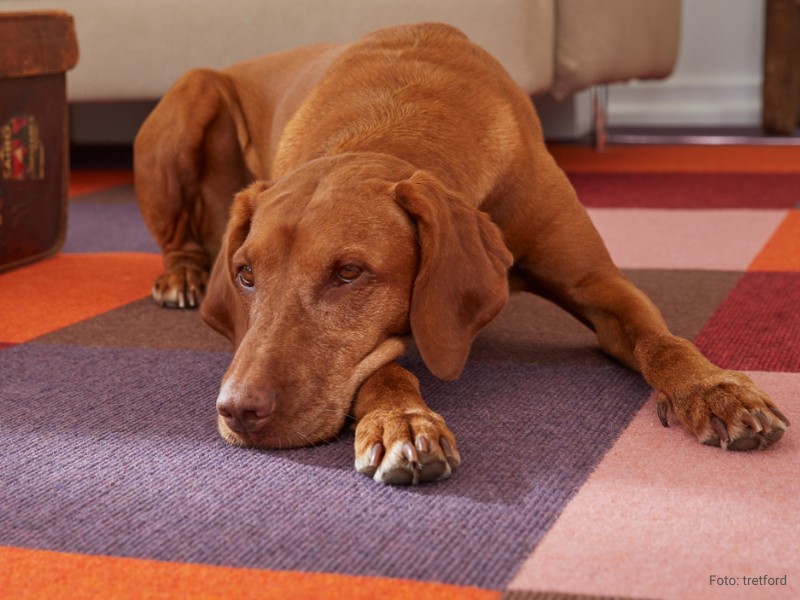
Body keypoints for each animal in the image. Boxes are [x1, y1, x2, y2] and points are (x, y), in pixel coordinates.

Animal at [136, 23, 788, 486]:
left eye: (349, 272)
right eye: (246, 275)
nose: (236, 410)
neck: (389, 123)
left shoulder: (599, 283)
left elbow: (662, 340)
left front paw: (714, 389)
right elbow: (383, 362)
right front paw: (401, 421)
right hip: (191, 97)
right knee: (177, 234)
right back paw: (183, 276)